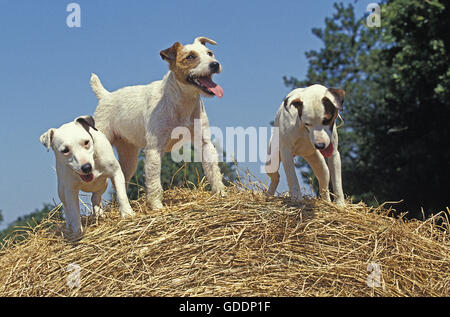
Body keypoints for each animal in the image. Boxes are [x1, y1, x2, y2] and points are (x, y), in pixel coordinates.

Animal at [90, 35, 225, 210]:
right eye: (190, 57)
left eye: (210, 53)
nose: (214, 64)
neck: (181, 99)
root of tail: (105, 96)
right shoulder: (154, 149)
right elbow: (154, 182)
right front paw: (157, 207)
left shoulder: (205, 143)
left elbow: (213, 171)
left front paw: (221, 193)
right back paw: (98, 213)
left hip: (129, 158)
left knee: (120, 182)